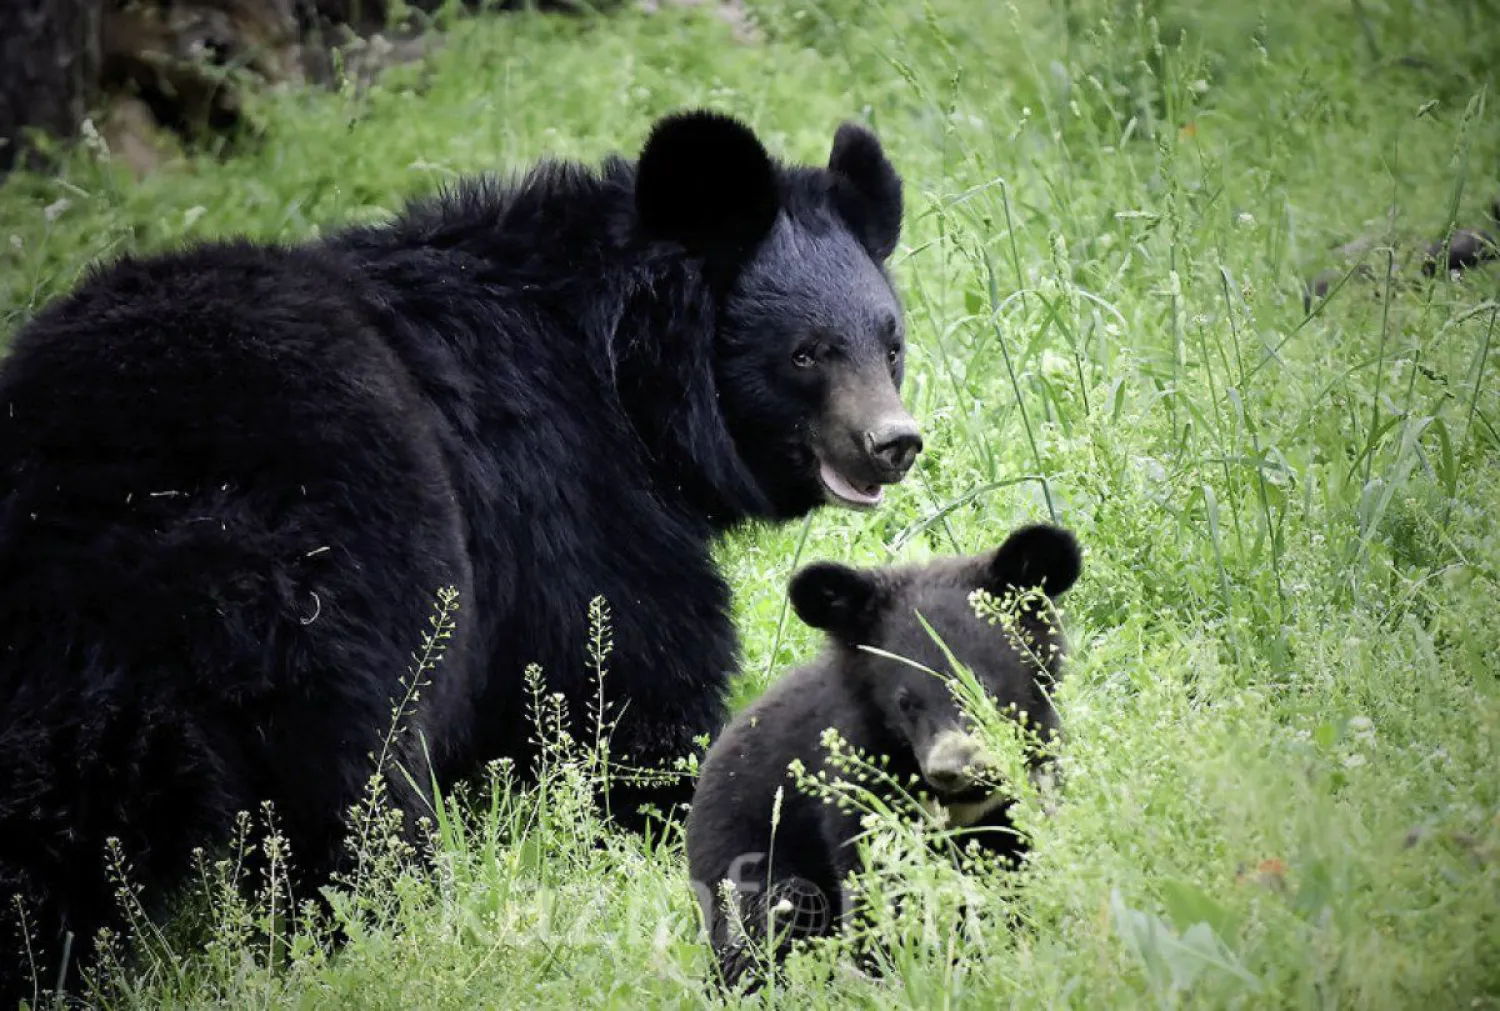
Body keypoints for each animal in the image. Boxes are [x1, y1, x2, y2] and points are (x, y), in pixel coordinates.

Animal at [0, 112, 918, 1002]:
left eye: (892, 344)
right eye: (806, 352)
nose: (895, 444)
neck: (625, 375)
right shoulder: (565, 492)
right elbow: (625, 672)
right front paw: (677, 812)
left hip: (59, 668)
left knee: (53, 827)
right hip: (345, 584)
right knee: (350, 792)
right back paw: (382, 927)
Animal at [687, 525, 1086, 990]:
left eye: (981, 686)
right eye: (905, 702)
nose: (951, 768)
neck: (957, 803)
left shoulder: (1021, 784)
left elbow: (1017, 853)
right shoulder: (858, 779)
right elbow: (878, 875)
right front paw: (897, 970)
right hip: (742, 855)